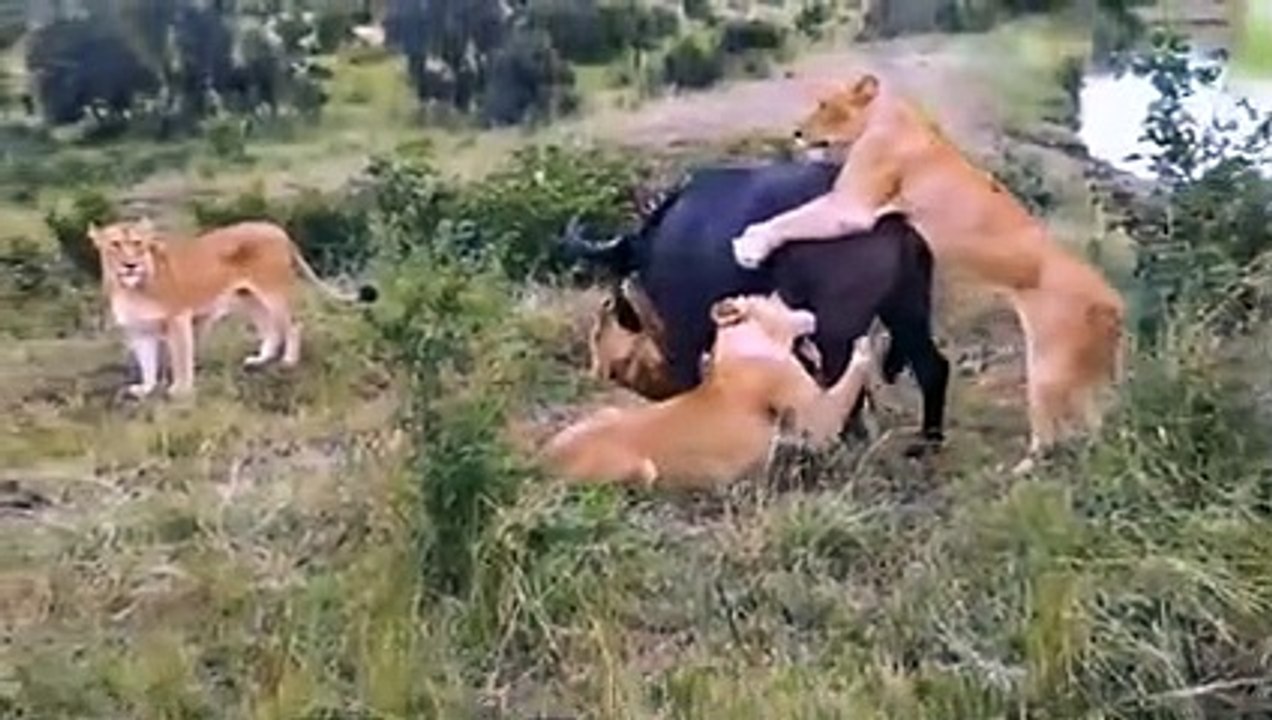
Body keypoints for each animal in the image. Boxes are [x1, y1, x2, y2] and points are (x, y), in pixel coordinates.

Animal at [89, 217, 377, 399]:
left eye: (138, 243)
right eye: (115, 244)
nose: (130, 265)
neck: (129, 288)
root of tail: (277, 229)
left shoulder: (178, 319)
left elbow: (181, 359)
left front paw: (181, 390)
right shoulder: (138, 332)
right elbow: (146, 363)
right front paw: (146, 389)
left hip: (272, 292)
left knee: (293, 325)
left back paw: (288, 361)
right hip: (249, 298)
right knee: (270, 329)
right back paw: (260, 360)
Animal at [541, 292, 877, 490]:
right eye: (776, 302)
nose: (809, 311)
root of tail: (542, 462)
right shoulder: (817, 422)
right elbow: (847, 382)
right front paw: (864, 346)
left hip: (607, 412)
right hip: (643, 471)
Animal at [729, 73, 1125, 473]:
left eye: (825, 104)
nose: (796, 132)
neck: (886, 114)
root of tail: (1111, 300)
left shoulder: (852, 205)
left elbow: (791, 218)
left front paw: (749, 243)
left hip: (1047, 368)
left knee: (1050, 437)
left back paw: (1020, 469)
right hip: (1082, 371)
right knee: (1090, 427)